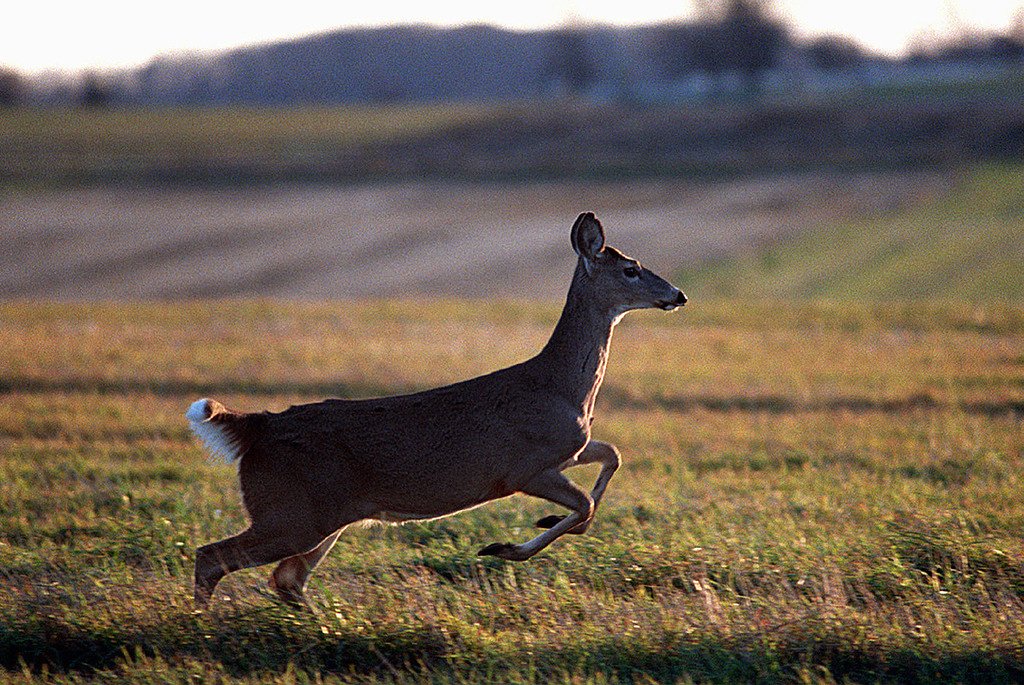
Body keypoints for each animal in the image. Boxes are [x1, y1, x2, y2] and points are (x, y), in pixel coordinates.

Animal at [186, 212, 687, 607]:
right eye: (631, 270)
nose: (678, 294)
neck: (561, 388)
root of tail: (255, 428)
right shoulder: (523, 468)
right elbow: (585, 504)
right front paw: (504, 548)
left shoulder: (569, 450)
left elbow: (611, 457)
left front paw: (536, 528)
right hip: (292, 511)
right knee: (211, 557)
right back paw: (204, 627)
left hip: (321, 516)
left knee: (285, 579)